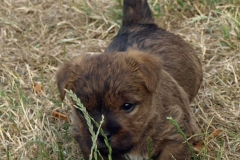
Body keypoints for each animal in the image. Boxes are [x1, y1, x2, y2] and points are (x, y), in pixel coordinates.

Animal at [56, 0, 202, 159]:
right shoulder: (87, 143)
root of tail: (138, 24)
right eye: (83, 111)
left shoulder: (176, 137)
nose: (103, 136)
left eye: (127, 106)